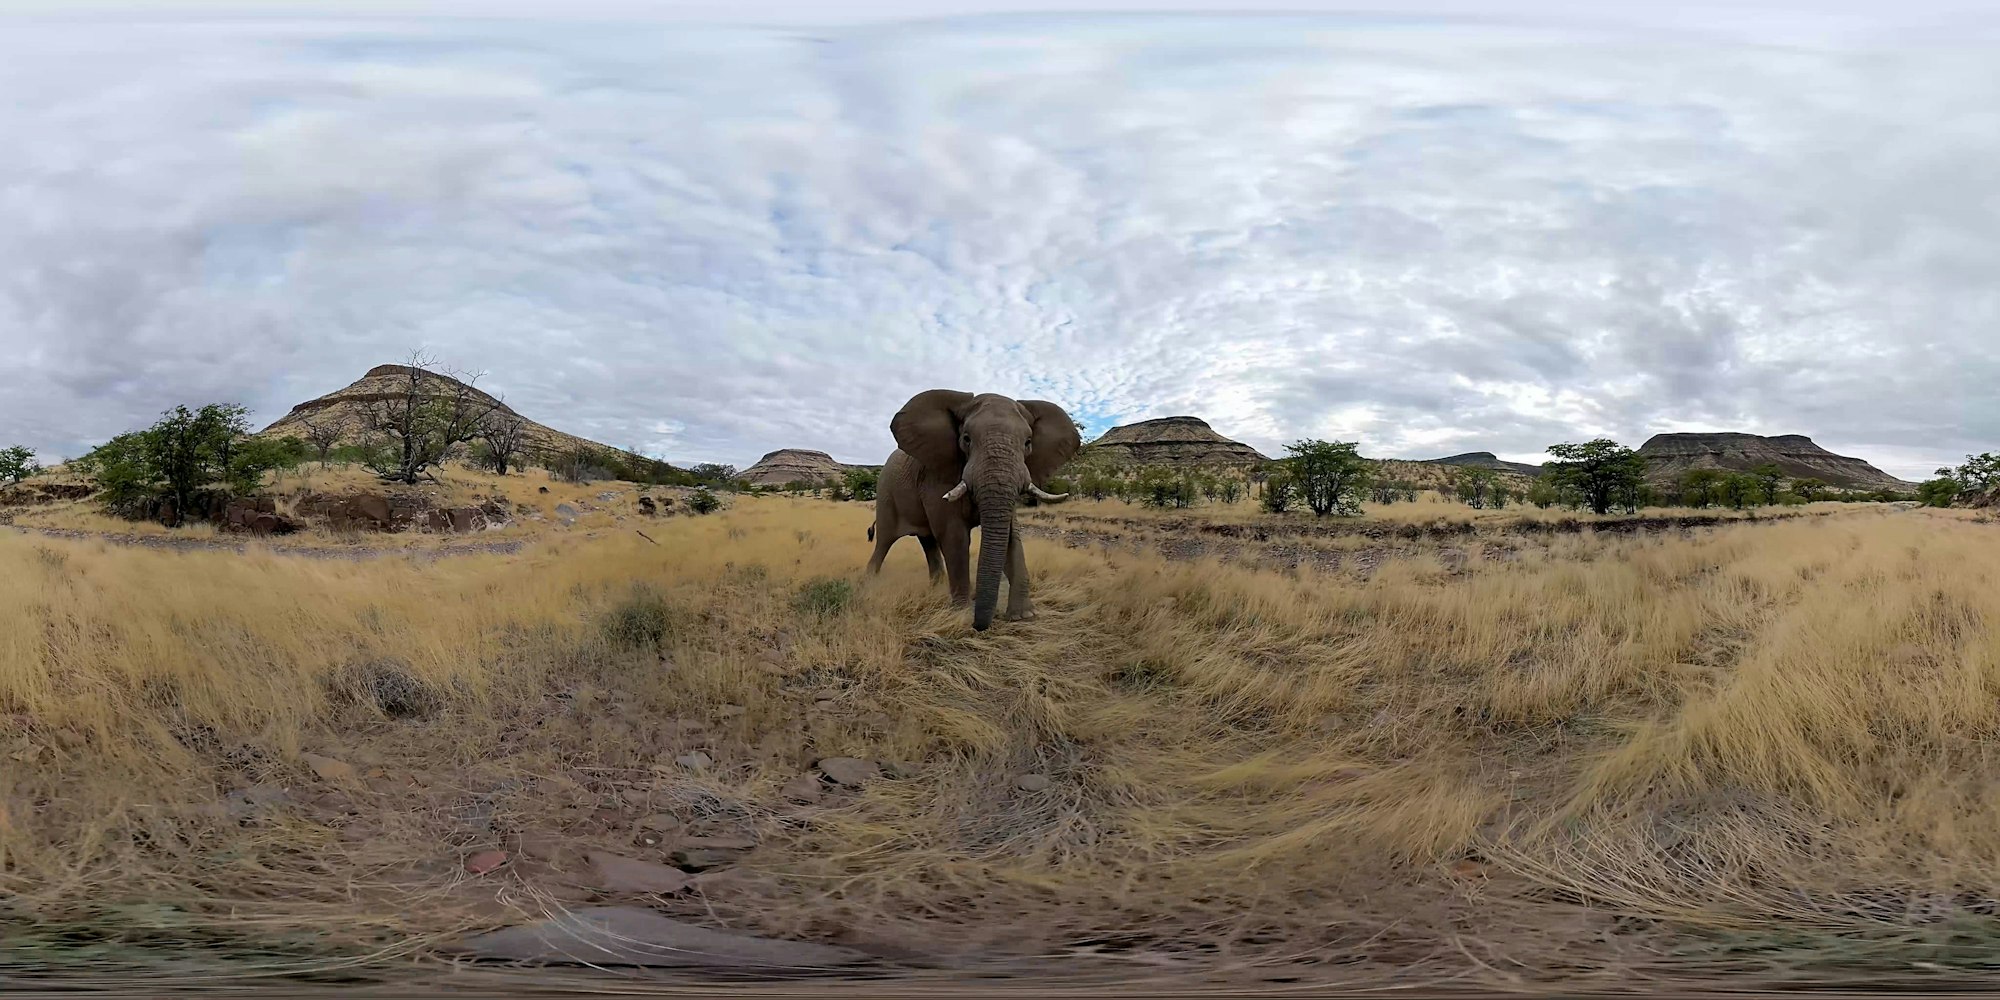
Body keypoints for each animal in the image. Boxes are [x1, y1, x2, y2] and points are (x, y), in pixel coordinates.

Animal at [865, 389, 1082, 630]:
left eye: (1028, 443)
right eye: (966, 439)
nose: (979, 626)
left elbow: (1012, 536)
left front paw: (1023, 616)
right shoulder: (937, 476)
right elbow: (954, 535)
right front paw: (961, 614)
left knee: (927, 541)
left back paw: (936, 589)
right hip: (886, 493)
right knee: (884, 541)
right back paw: (868, 585)